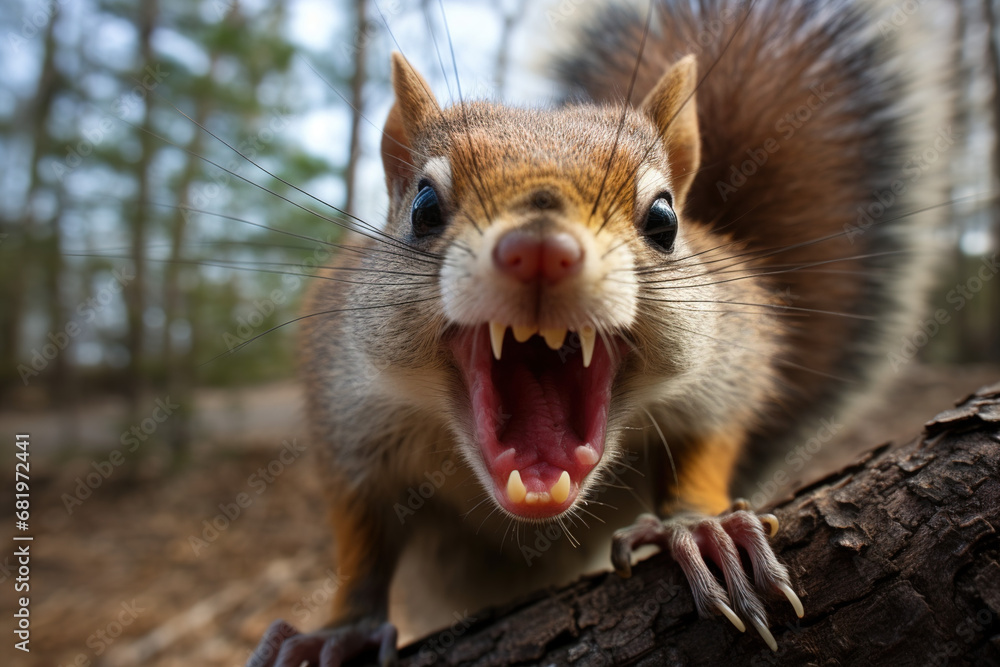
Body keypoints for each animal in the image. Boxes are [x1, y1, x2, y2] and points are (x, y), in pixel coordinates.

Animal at [249, 0, 952, 664]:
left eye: (664, 218)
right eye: (423, 207)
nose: (538, 251)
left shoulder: (729, 363)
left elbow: (705, 447)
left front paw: (700, 528)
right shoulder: (349, 414)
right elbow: (362, 542)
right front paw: (340, 630)